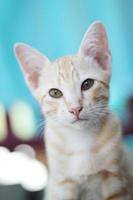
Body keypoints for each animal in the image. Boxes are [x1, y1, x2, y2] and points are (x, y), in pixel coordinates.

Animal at [14, 21, 133, 200]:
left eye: (87, 84)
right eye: (55, 93)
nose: (75, 109)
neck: (81, 142)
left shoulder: (116, 178)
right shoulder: (62, 185)